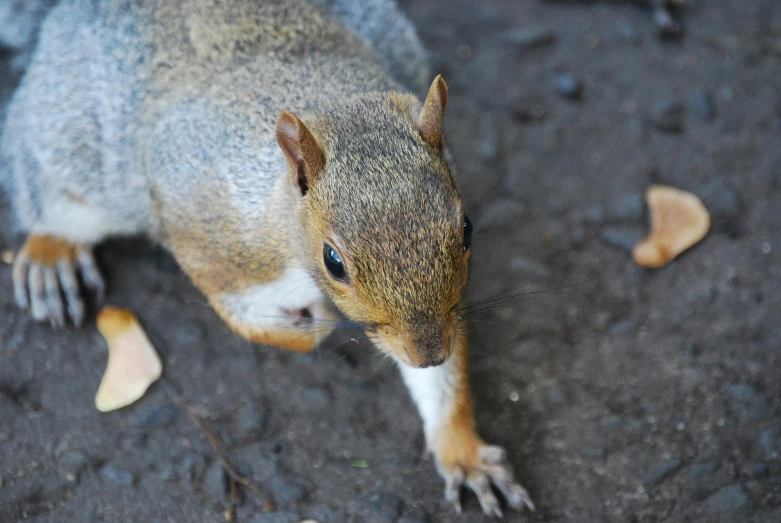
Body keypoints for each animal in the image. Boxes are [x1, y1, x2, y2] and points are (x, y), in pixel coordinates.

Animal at [1, 0, 536, 516]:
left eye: (466, 228)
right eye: (334, 261)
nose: (428, 353)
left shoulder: (446, 311)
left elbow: (443, 382)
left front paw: (464, 454)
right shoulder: (207, 236)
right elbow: (249, 322)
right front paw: (313, 324)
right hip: (71, 140)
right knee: (43, 186)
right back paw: (51, 255)